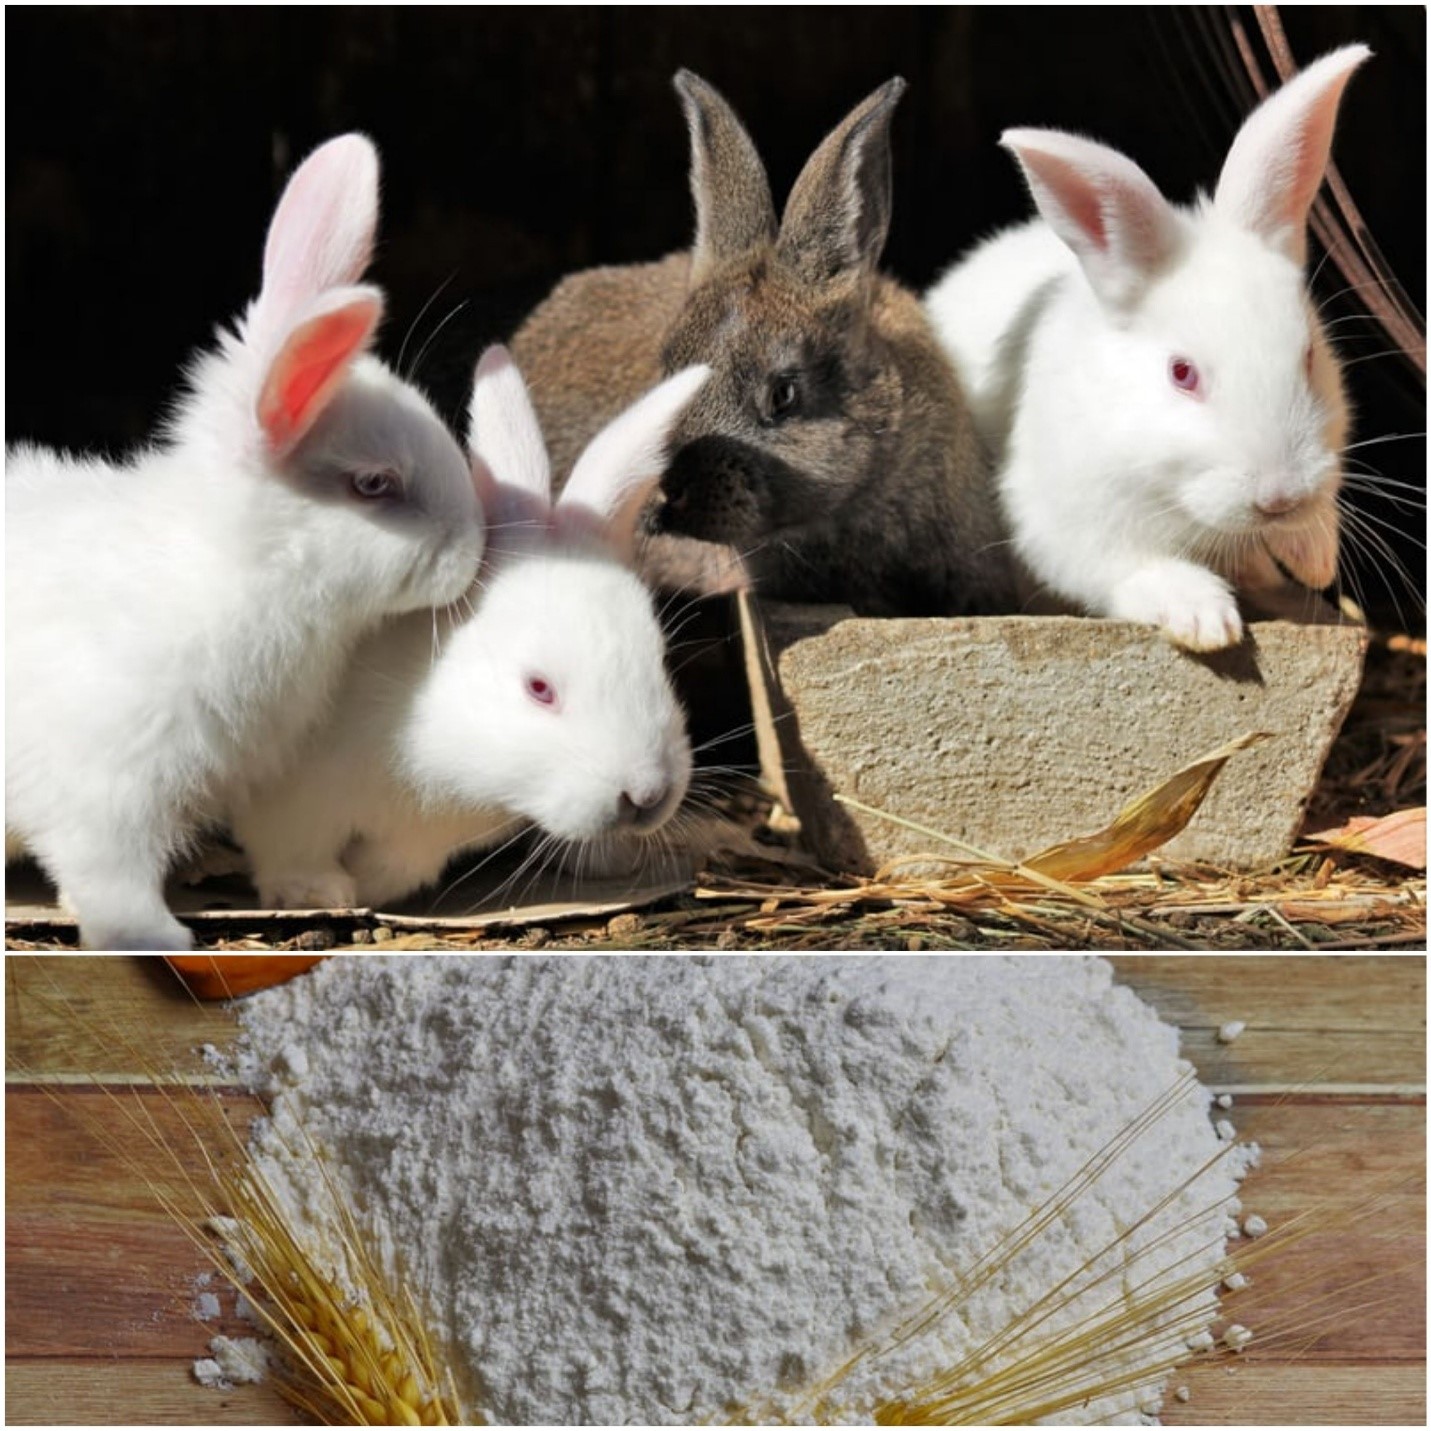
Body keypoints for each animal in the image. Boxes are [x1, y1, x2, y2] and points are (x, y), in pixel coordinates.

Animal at [5, 134, 486, 950]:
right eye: (374, 485)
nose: (475, 547)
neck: (236, 569)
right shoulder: (111, 783)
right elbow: (107, 873)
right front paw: (159, 938)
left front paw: (320, 889)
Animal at [227, 347, 707, 913]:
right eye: (539, 688)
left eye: (661, 660)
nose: (646, 795)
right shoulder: (293, 800)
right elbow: (292, 850)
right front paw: (318, 894)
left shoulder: (417, 843)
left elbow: (392, 869)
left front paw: (365, 884)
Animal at [924, 45, 1371, 651]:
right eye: (1181, 374)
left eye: (1309, 357)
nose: (1279, 499)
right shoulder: (1068, 522)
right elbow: (1137, 568)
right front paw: (1206, 620)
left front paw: (1315, 557)